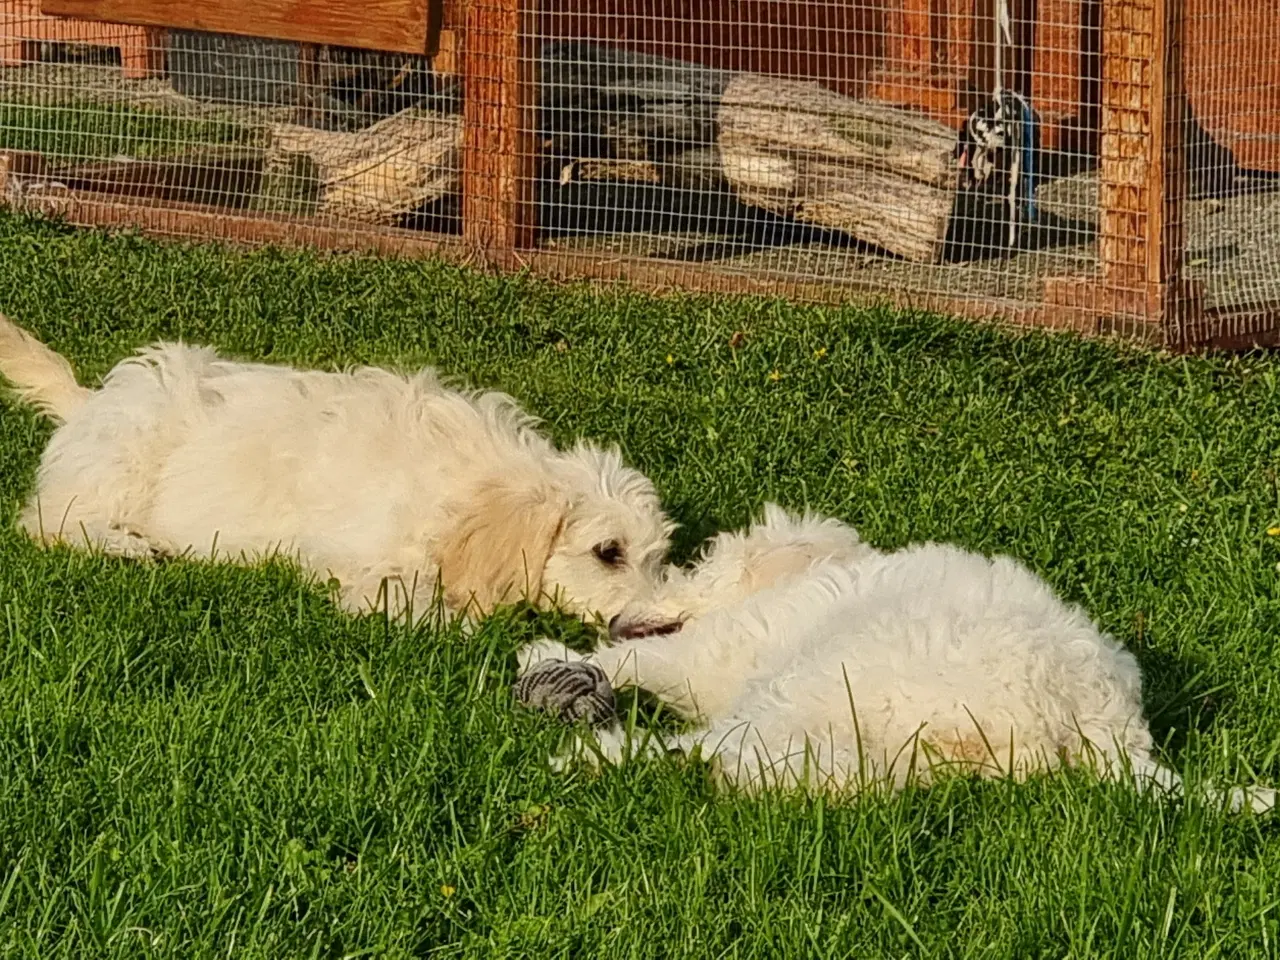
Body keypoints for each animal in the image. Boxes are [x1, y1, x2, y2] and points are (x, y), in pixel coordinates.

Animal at [0, 316, 675, 624]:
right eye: (607, 551)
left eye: (655, 559)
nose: (654, 623)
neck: (465, 486)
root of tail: (88, 402)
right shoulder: (363, 557)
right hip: (124, 460)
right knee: (47, 520)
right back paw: (126, 546)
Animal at [517, 504, 1269, 814]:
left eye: (696, 564)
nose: (620, 614)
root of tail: (1101, 733)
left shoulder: (727, 646)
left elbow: (652, 661)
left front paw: (552, 655)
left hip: (822, 675)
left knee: (712, 750)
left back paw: (589, 754)